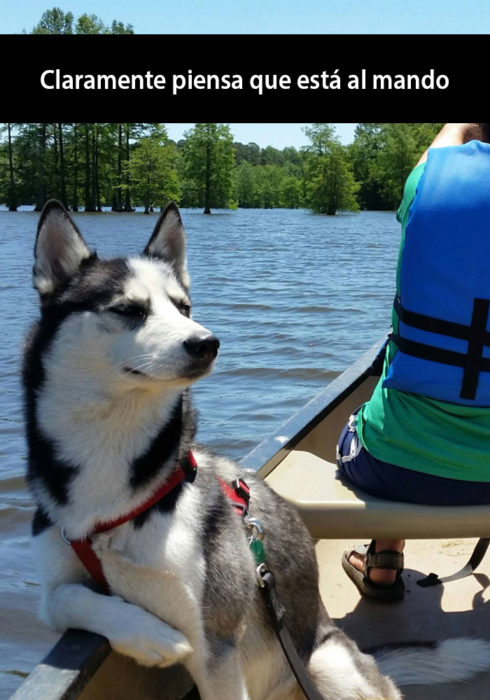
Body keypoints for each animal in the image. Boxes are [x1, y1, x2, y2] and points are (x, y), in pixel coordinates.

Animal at [24, 200, 490, 696]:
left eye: (183, 306)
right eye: (128, 309)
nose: (206, 343)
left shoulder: (217, 643)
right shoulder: (57, 584)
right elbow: (64, 599)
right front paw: (149, 636)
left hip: (328, 663)